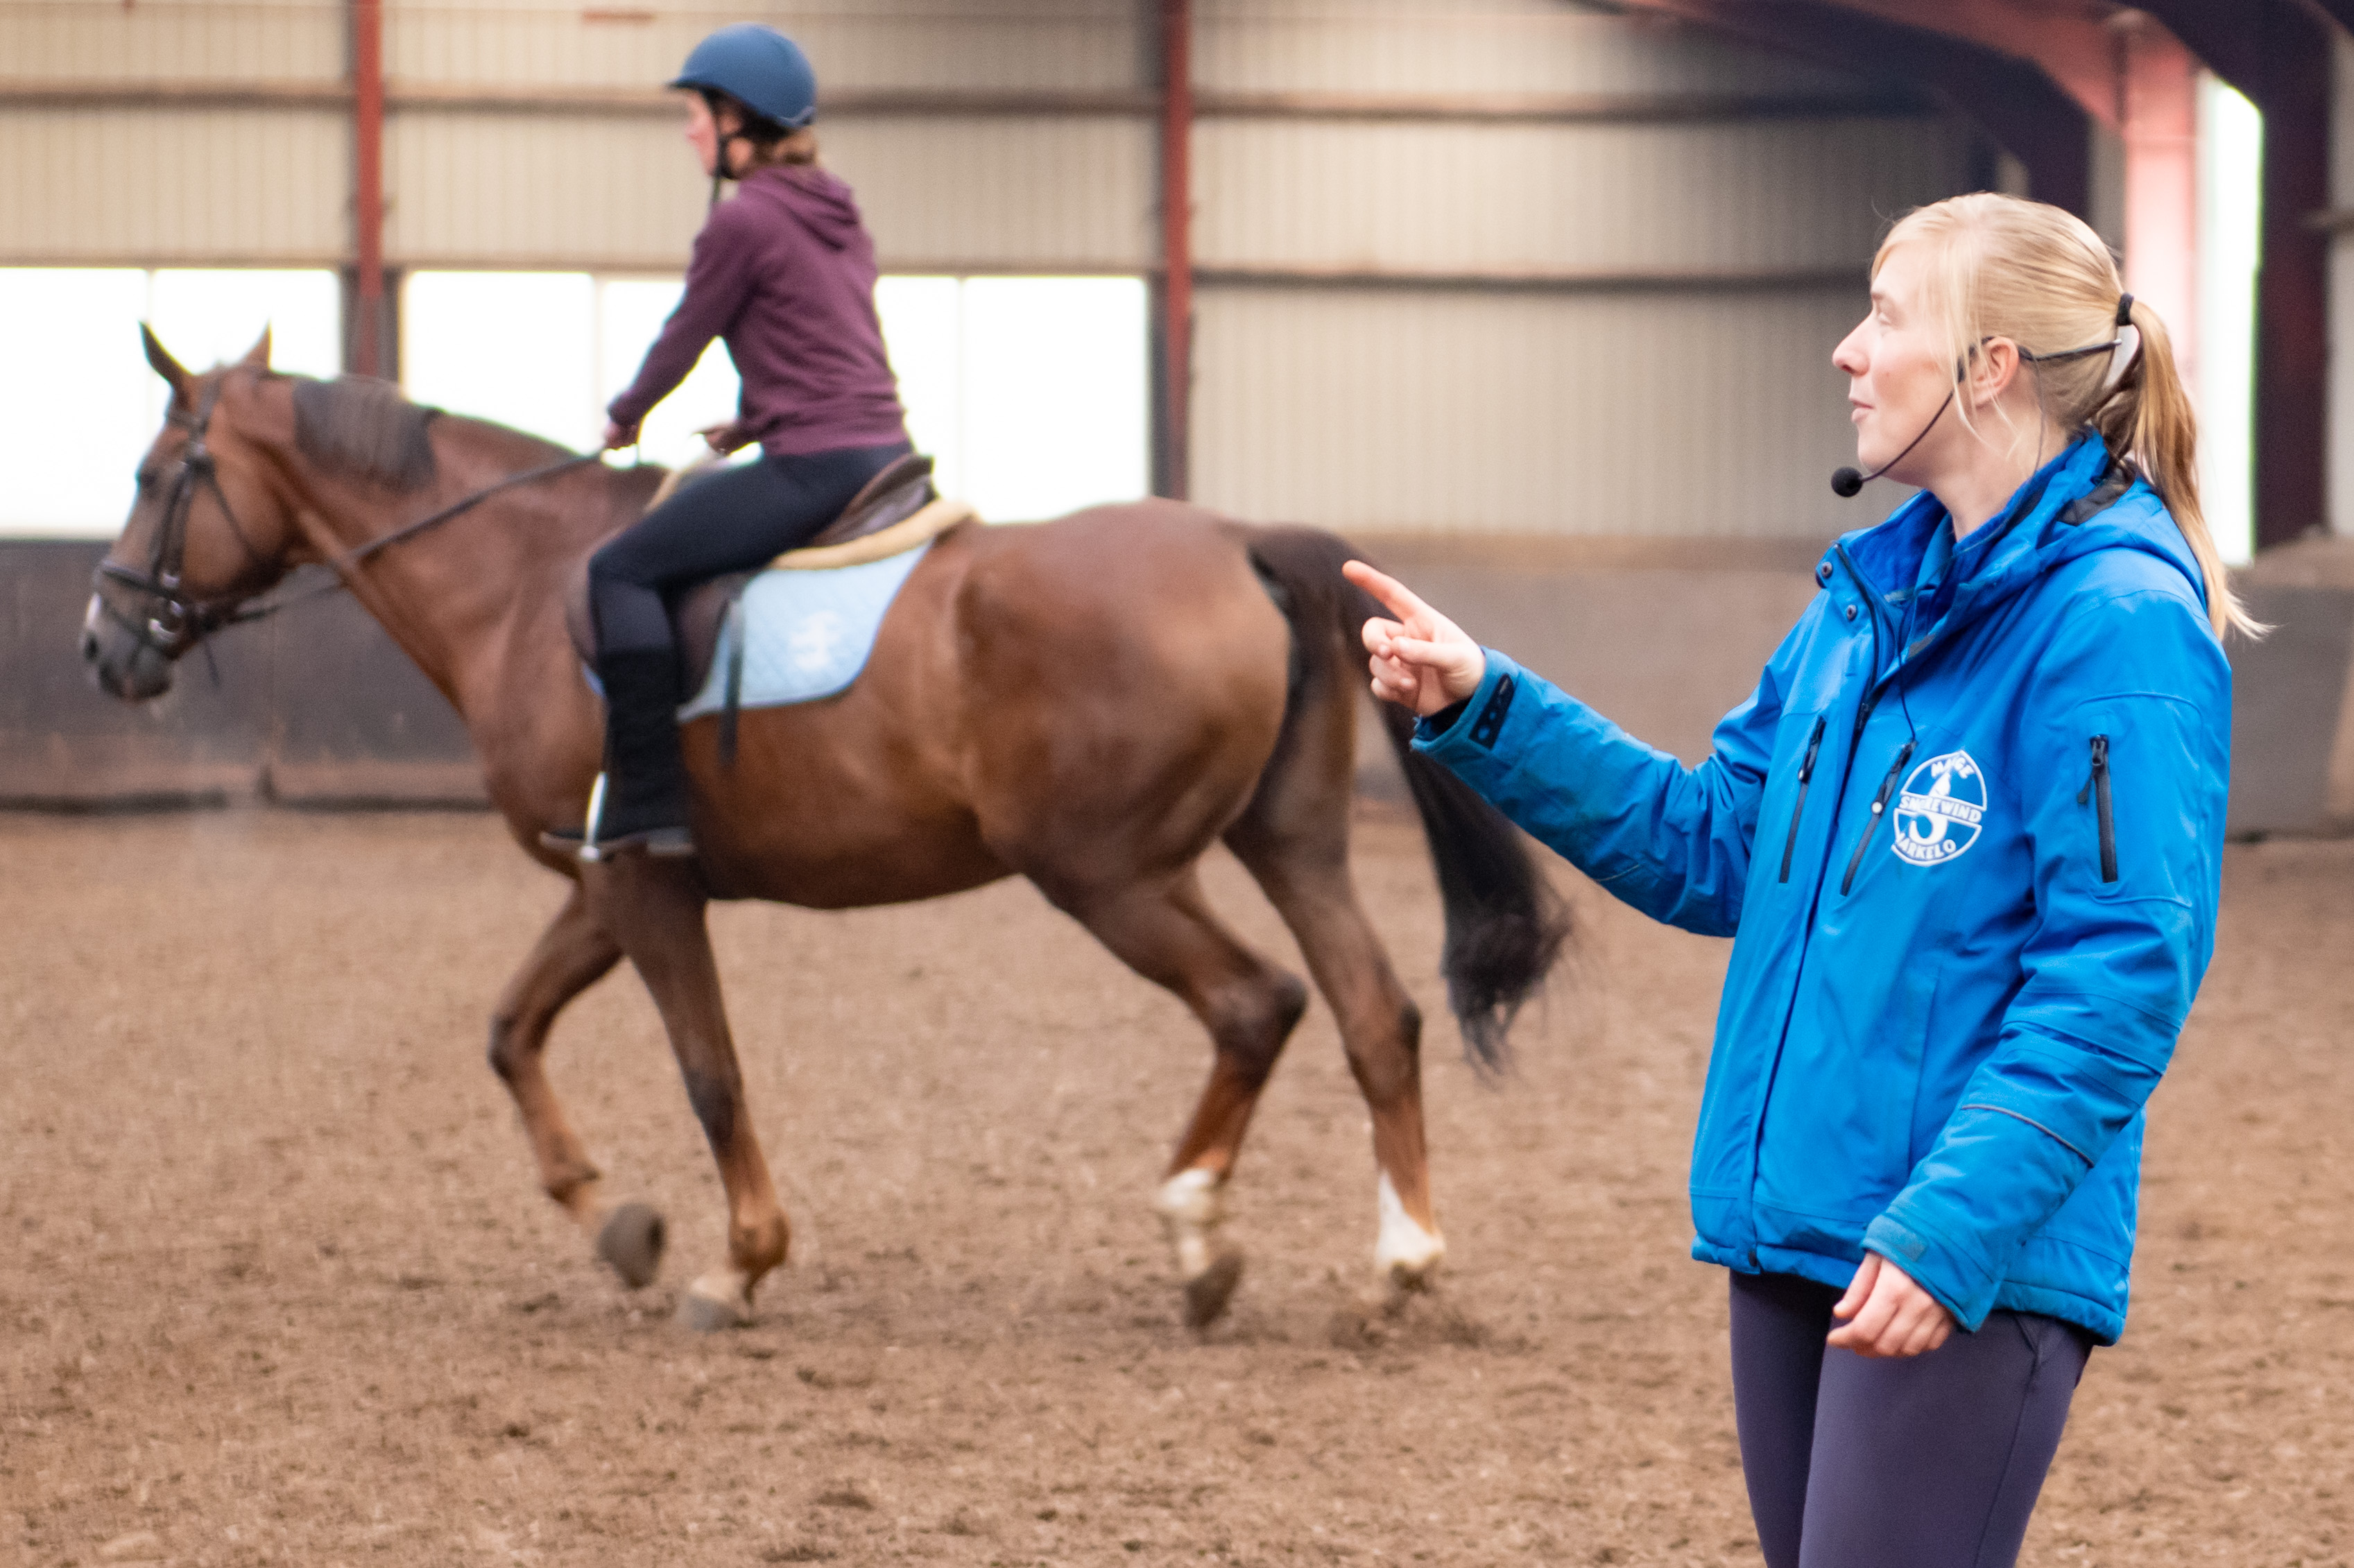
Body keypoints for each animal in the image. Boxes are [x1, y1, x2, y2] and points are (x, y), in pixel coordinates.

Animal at [83, 329, 1572, 1327]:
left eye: (158, 474)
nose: (106, 646)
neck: (520, 580)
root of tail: (1242, 542)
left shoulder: (641, 889)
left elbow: (708, 1072)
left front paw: (735, 1260)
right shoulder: (602, 881)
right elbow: (510, 1033)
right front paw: (619, 1227)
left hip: (1106, 872)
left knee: (1255, 1004)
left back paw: (1198, 1238)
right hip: (1287, 842)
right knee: (1374, 1013)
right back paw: (1397, 1264)